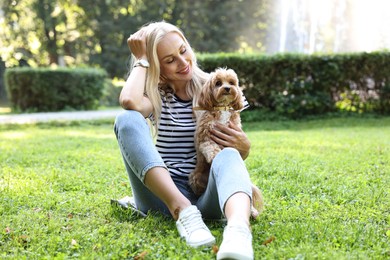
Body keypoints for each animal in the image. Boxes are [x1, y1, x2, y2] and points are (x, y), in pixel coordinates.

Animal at [190, 68, 266, 216]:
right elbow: (210, 146)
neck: (222, 108)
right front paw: (215, 155)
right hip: (195, 178)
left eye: (231, 82)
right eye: (218, 83)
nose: (227, 88)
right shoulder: (205, 137)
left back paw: (252, 211)